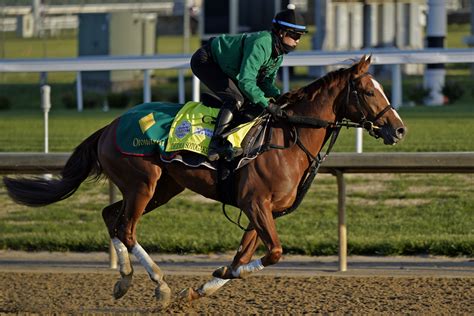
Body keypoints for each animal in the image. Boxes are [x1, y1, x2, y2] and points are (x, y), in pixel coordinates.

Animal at [2, 55, 404, 308]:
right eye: (369, 91)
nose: (398, 129)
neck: (290, 137)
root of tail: (111, 125)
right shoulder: (256, 204)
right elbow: (273, 253)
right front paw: (201, 282)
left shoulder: (261, 210)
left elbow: (243, 257)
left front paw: (202, 287)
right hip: (142, 183)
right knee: (126, 227)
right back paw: (160, 285)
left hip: (162, 187)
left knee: (110, 216)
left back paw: (125, 279)